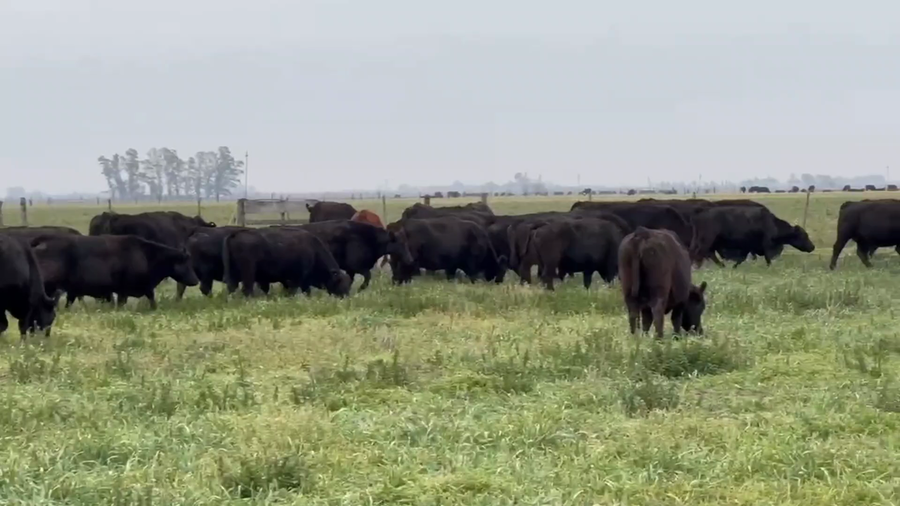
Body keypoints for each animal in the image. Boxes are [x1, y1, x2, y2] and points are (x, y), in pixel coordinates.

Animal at [30, 234, 199, 310]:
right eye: (185, 263)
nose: (196, 280)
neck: (145, 254)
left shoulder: (145, 288)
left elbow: (151, 298)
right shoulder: (123, 290)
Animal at [222, 227, 352, 297]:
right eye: (340, 282)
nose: (345, 297)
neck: (313, 250)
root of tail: (235, 234)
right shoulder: (298, 278)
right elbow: (294, 290)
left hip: (233, 274)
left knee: (232, 287)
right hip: (248, 273)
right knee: (247, 289)